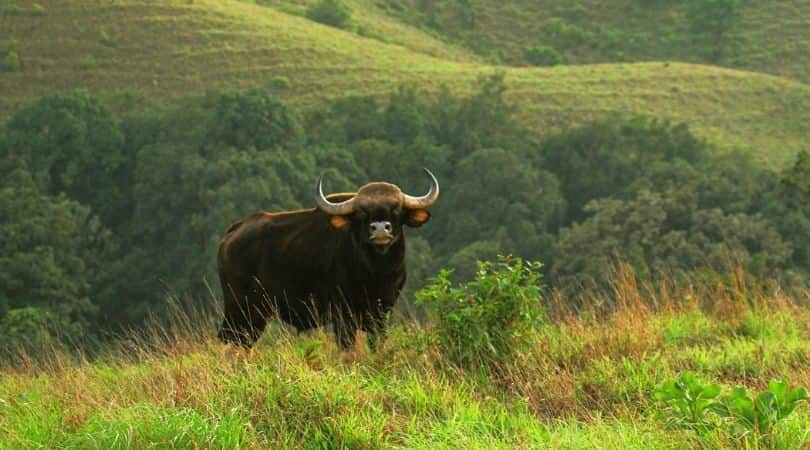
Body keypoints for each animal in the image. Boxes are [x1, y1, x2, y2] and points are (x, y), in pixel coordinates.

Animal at [218, 169, 438, 348]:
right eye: (361, 212)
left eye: (397, 209)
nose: (380, 229)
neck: (375, 273)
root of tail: (233, 231)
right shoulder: (343, 315)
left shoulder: (383, 312)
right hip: (241, 308)